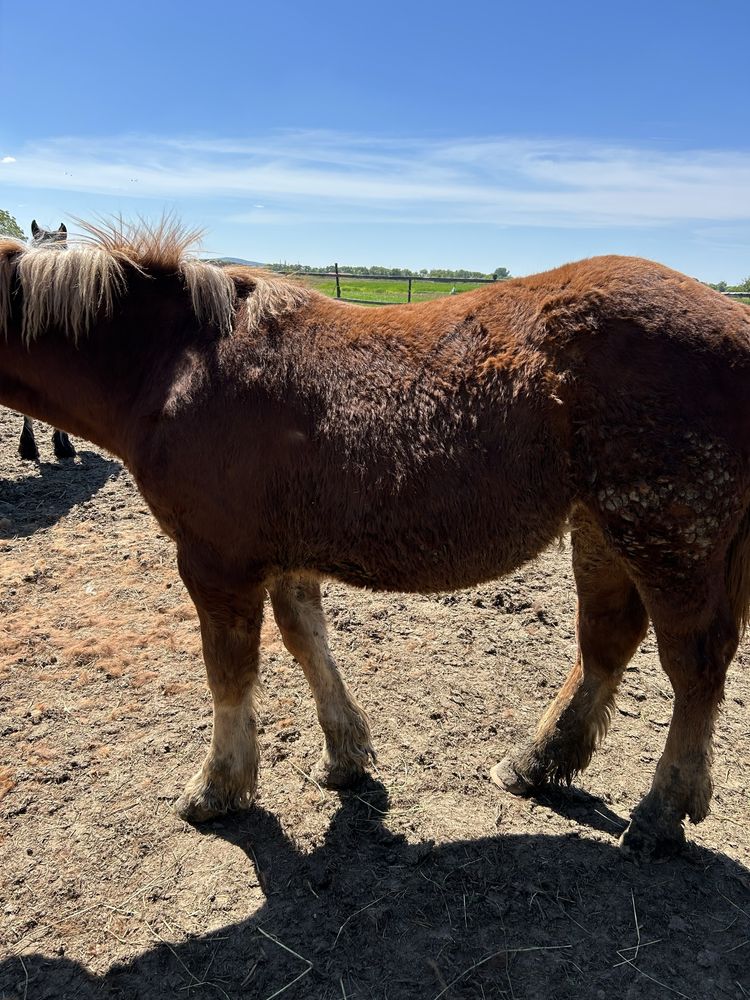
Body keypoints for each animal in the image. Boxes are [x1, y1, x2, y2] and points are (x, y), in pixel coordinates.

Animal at [1, 221, 750, 860]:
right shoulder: (281, 558)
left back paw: (661, 811)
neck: (174, 362)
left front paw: (217, 787)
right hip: (601, 529)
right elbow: (308, 644)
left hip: (668, 538)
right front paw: (345, 756)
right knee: (607, 643)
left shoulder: (216, 565)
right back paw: (534, 764)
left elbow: (229, 675)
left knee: (695, 667)